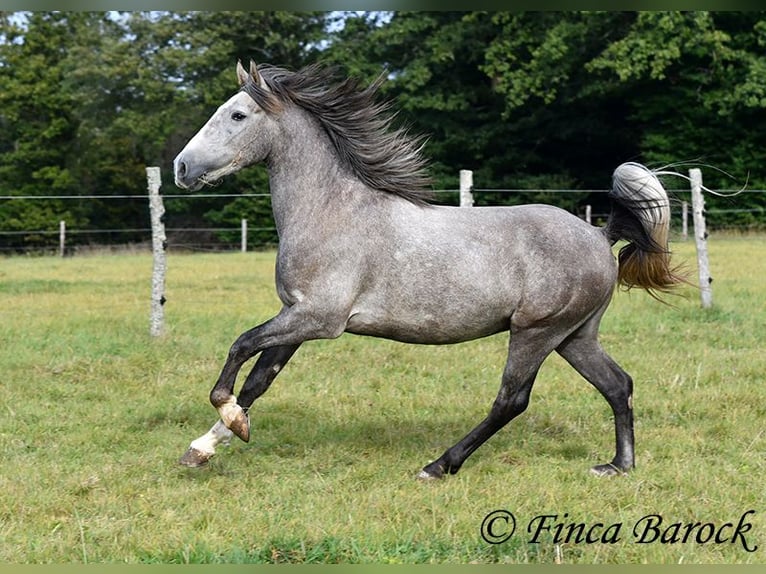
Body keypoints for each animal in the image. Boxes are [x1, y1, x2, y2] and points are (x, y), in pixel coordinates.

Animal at [171, 59, 680, 482]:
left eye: (238, 115)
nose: (181, 167)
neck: (332, 212)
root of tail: (598, 234)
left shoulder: (319, 318)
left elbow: (240, 347)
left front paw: (228, 420)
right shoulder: (296, 316)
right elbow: (259, 380)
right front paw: (203, 447)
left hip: (536, 331)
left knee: (511, 401)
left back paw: (438, 466)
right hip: (575, 335)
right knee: (618, 384)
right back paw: (617, 466)